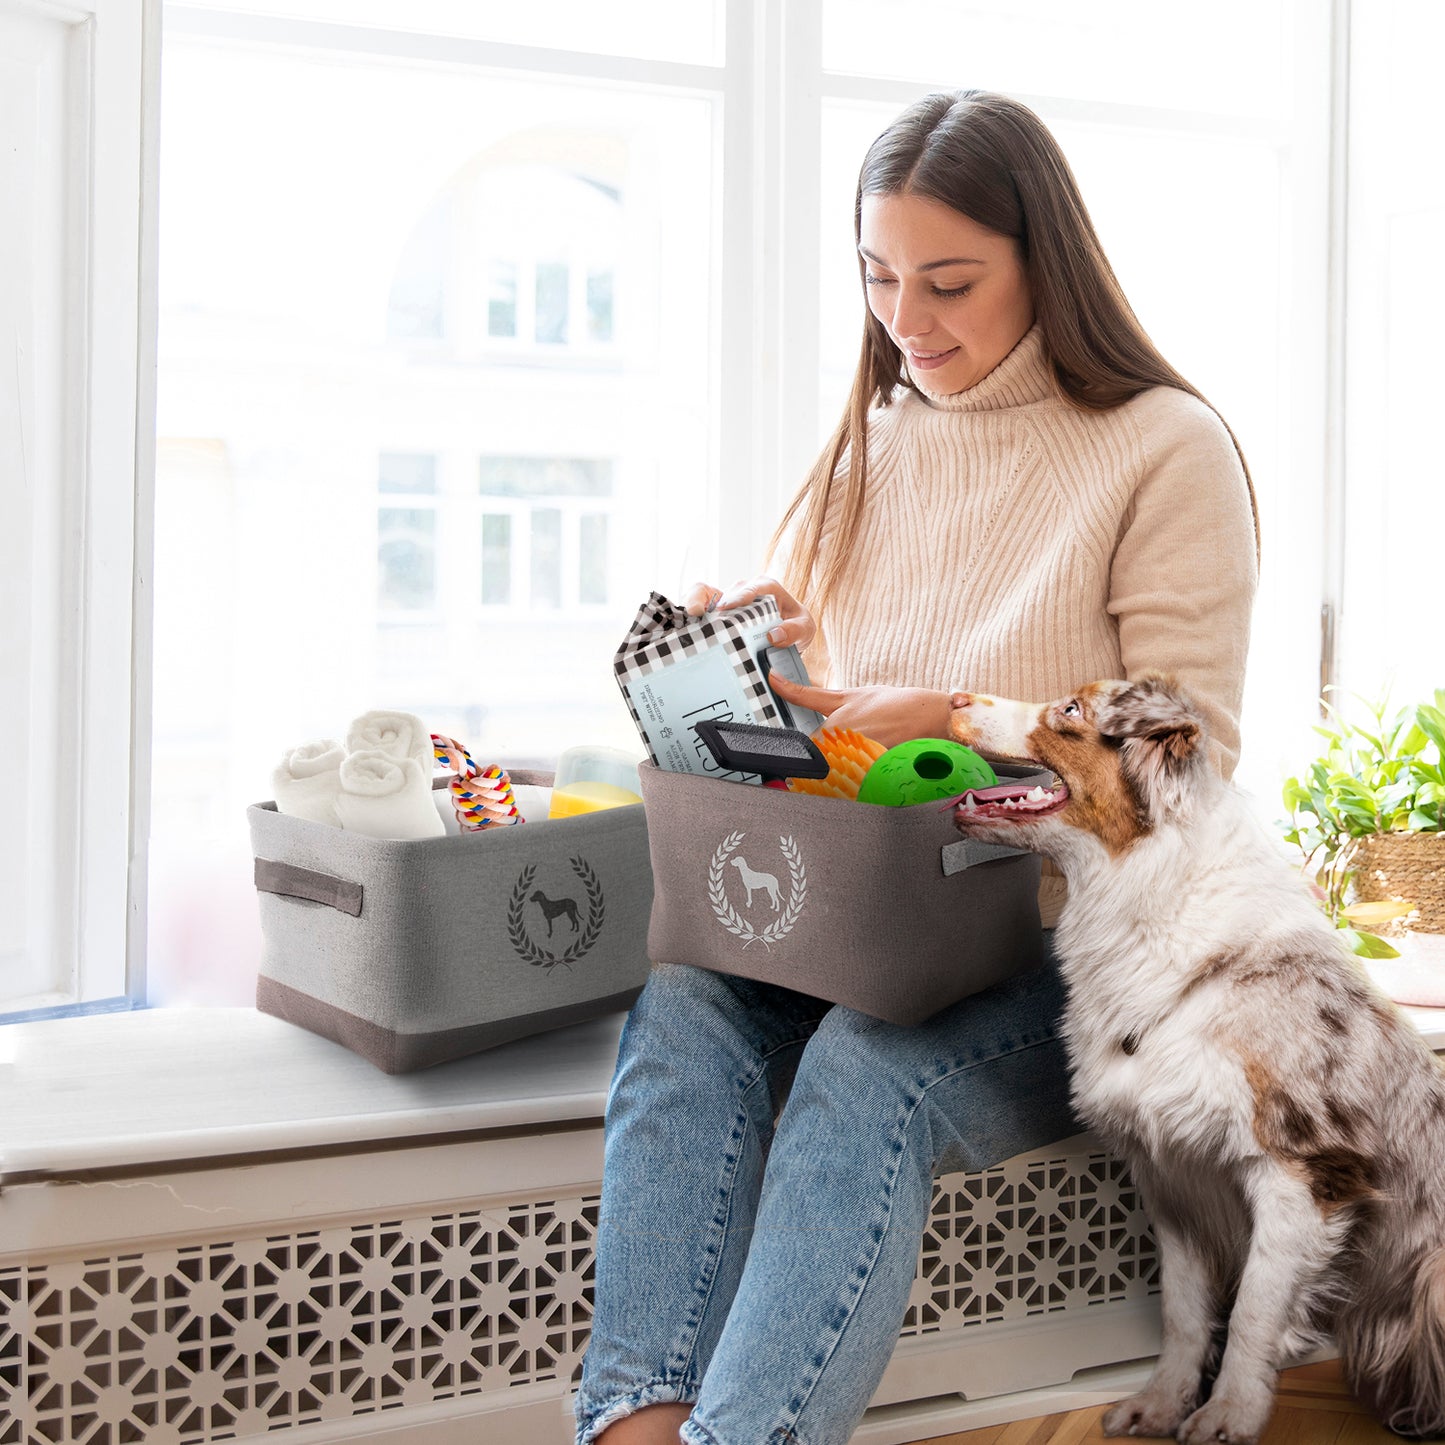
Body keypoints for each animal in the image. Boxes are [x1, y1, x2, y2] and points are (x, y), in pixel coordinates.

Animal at [947, 676, 1445, 1445]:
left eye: (1071, 709)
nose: (950, 697)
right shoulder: (1170, 1174)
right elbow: (1183, 1313)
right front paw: (1161, 1403)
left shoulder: (1301, 1171)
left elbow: (1252, 1313)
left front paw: (1229, 1414)